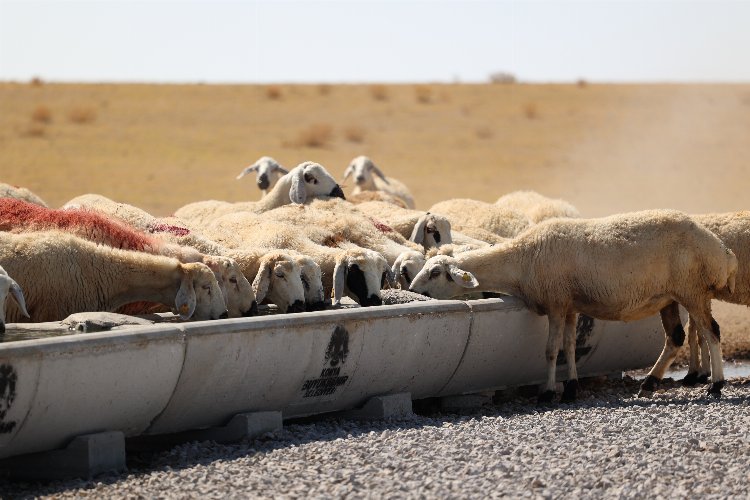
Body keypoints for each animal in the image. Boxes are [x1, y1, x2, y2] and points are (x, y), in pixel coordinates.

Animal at [408, 211, 736, 402]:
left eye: (435, 272)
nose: (412, 290)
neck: (521, 260)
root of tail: (722, 251)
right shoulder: (570, 305)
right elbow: (569, 347)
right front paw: (572, 388)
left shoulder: (555, 304)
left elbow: (552, 350)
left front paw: (547, 393)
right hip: (669, 297)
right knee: (675, 338)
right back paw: (650, 383)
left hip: (692, 290)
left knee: (711, 332)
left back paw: (716, 385)